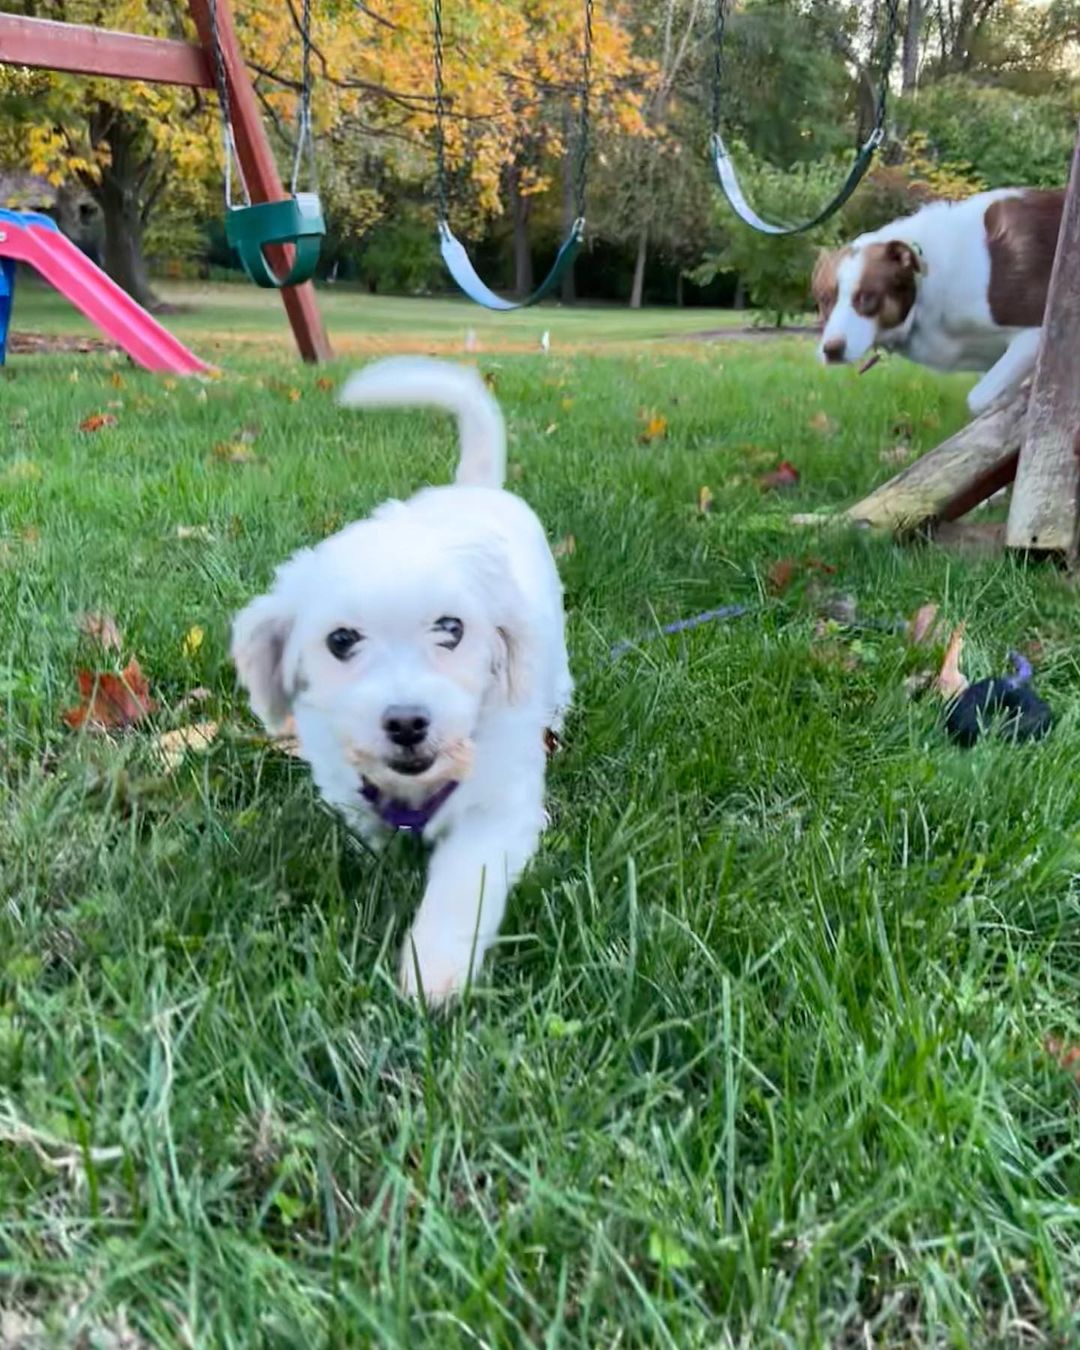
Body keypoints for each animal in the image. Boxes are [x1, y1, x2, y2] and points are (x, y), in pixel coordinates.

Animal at [233, 356, 572, 1004]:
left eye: (451, 628)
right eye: (341, 640)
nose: (408, 722)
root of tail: (473, 488)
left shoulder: (497, 812)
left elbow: (463, 884)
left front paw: (433, 970)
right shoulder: (349, 790)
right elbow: (371, 838)